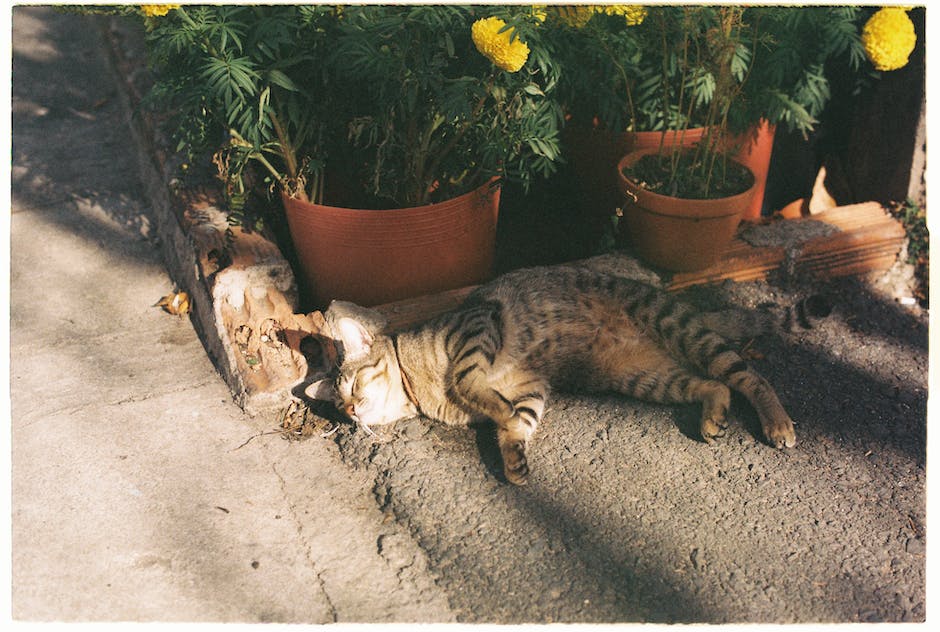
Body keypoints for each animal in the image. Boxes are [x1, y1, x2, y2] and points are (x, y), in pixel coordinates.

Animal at [310, 262, 828, 484]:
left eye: (353, 383)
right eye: (342, 409)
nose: (353, 411)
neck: (420, 388)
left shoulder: (479, 328)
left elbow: (469, 380)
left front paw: (490, 409)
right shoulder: (531, 387)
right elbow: (516, 423)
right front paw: (514, 459)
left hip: (680, 332)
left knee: (749, 376)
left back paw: (778, 423)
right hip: (645, 376)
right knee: (715, 384)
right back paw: (713, 417)